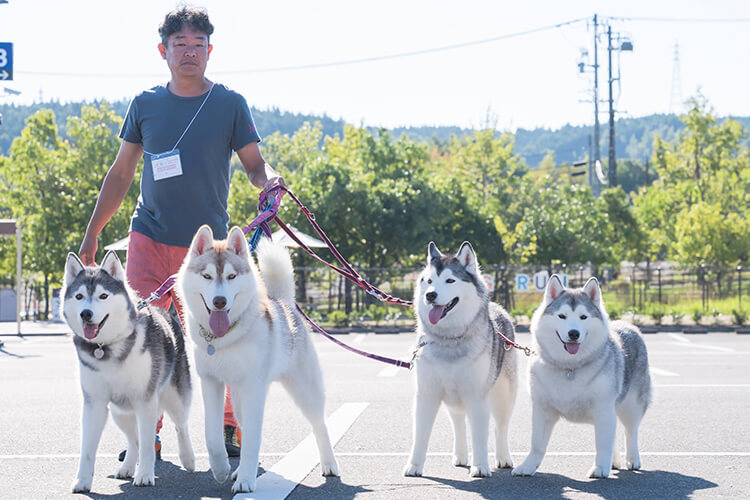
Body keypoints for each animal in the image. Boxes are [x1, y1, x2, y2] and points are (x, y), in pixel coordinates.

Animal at [62, 250, 195, 492]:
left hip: (175, 397)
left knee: (180, 426)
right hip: (120, 411)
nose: (86, 314)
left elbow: (148, 442)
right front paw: (82, 480)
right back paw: (127, 466)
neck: (106, 347)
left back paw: (188, 459)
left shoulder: (145, 400)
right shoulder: (94, 404)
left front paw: (145, 475)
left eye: (103, 296)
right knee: (133, 440)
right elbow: (87, 449)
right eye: (79, 296)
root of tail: (165, 311)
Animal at [176, 226, 340, 492]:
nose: (219, 301)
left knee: (319, 424)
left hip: (304, 389)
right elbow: (212, 435)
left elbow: (253, 439)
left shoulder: (254, 388)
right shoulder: (210, 382)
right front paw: (221, 469)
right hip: (239, 399)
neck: (223, 338)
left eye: (231, 276)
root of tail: (283, 302)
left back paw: (329, 463)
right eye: (207, 276)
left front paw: (245, 480)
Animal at [402, 244, 520, 478]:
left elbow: (480, 435)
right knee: (459, 424)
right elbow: (420, 435)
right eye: (429, 281)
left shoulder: (477, 396)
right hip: (454, 399)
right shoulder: (426, 395)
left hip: (503, 395)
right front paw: (414, 466)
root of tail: (499, 307)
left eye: (450, 280)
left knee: (500, 427)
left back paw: (503, 458)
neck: (450, 339)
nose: (430, 295)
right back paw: (461, 455)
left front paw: (480, 466)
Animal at [516, 276, 656, 478]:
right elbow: (536, 444)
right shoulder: (542, 409)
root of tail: (629, 325)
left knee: (631, 431)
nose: (574, 333)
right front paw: (528, 466)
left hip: (632, 405)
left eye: (583, 317)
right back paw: (613, 462)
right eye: (562, 316)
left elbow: (603, 444)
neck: (570, 367)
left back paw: (632, 459)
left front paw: (600, 468)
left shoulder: (603, 407)